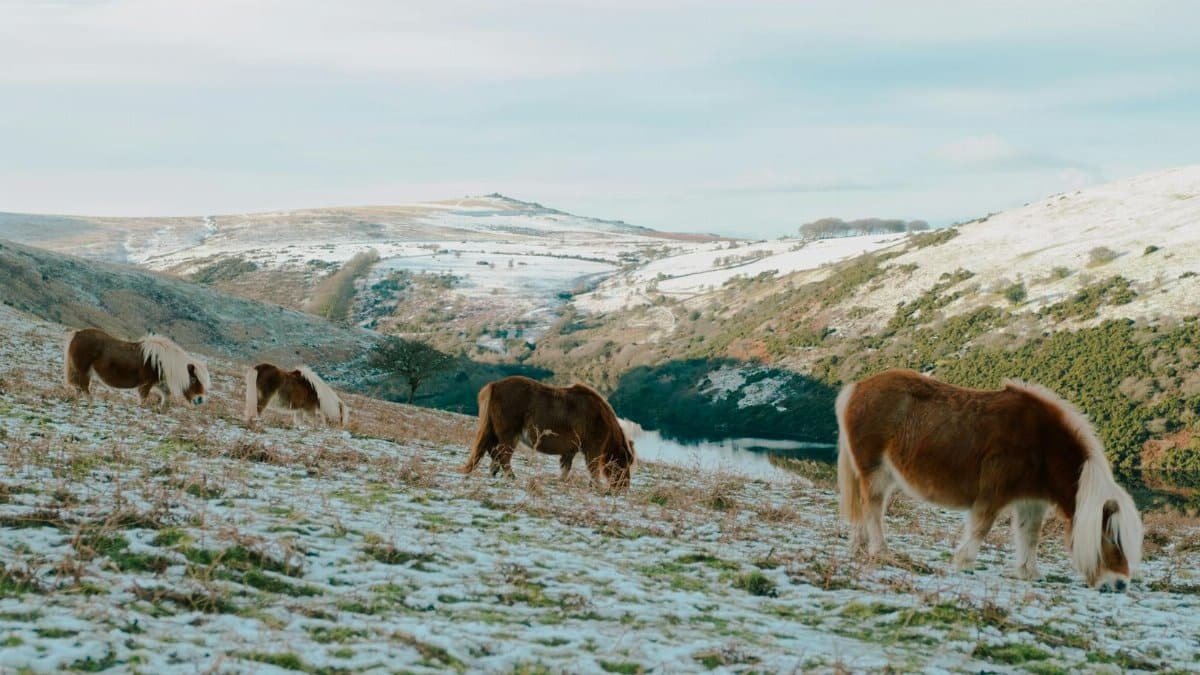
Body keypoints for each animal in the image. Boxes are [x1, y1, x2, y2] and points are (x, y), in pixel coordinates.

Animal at [63, 328, 210, 407]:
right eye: (193, 380)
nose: (200, 399)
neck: (161, 362)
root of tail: (77, 333)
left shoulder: (160, 384)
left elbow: (166, 396)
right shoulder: (146, 384)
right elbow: (143, 399)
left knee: (78, 388)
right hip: (84, 372)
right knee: (83, 388)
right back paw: (90, 402)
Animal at [459, 376, 636, 491]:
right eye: (624, 462)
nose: (623, 488)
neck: (600, 416)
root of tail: (494, 386)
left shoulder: (570, 450)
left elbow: (566, 467)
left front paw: (561, 481)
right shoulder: (593, 449)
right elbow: (593, 468)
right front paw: (597, 486)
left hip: (495, 433)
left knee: (493, 451)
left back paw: (494, 472)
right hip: (509, 436)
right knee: (503, 456)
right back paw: (510, 476)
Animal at [836, 368, 1143, 591]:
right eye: (1111, 539)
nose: (1120, 585)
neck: (1042, 444)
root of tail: (858, 387)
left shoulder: (1032, 502)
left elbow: (1030, 535)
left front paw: (1028, 572)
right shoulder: (993, 494)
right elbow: (981, 528)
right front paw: (964, 562)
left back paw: (858, 546)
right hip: (875, 471)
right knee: (873, 507)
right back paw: (880, 550)